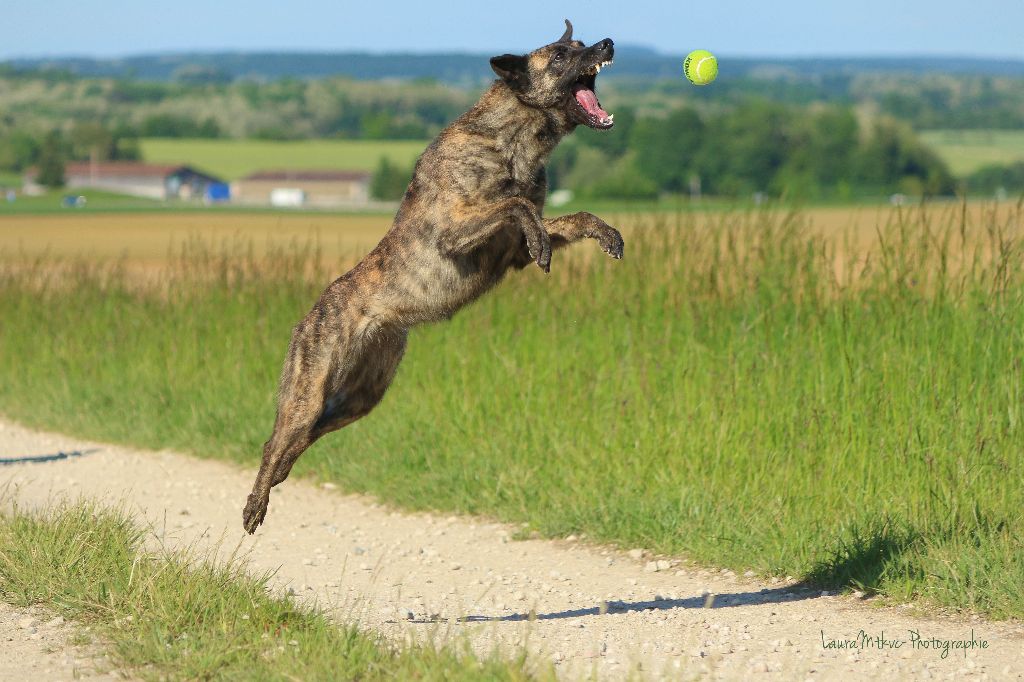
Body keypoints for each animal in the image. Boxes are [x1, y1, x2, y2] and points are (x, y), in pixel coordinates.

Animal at [243, 19, 622, 532]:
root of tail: (313, 312)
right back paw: (255, 504)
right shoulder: (453, 231)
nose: (607, 44)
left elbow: (567, 216)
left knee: (299, 440)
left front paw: (605, 233)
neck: (514, 137)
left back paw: (279, 476)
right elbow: (514, 204)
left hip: (360, 397)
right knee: (276, 440)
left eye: (581, 45)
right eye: (561, 56)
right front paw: (542, 238)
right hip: (309, 393)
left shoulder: (512, 247)